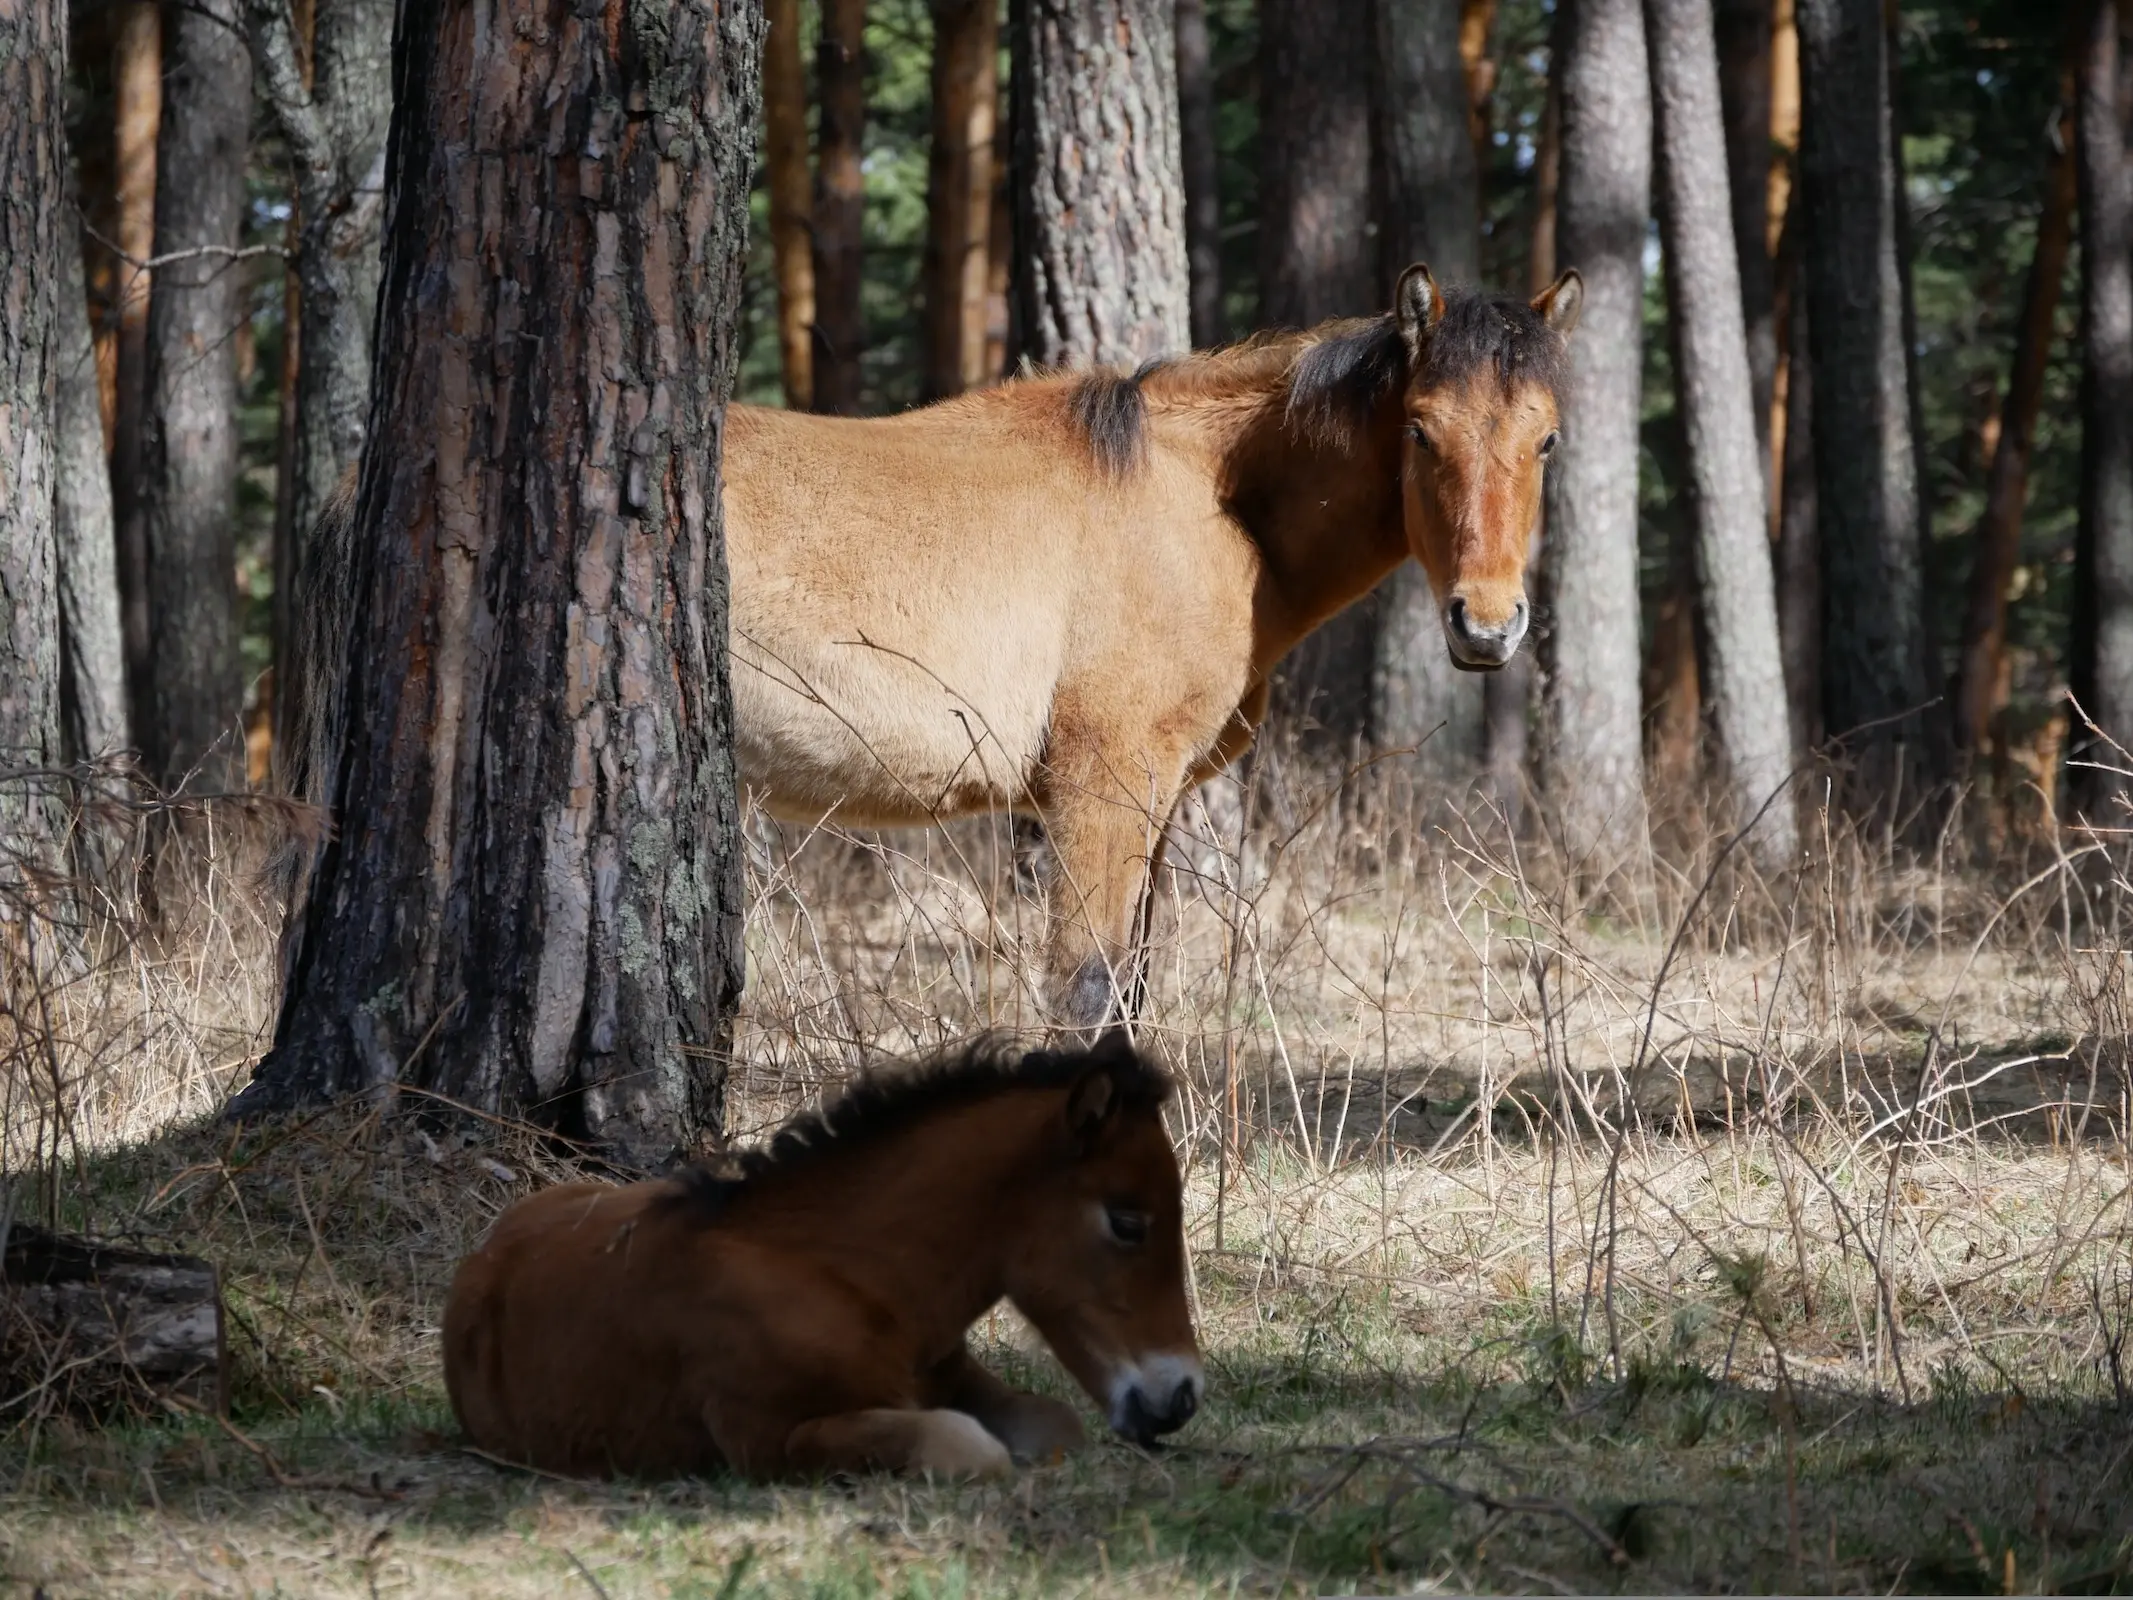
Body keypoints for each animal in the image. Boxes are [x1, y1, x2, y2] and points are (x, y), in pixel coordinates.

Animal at [279, 264, 1586, 1028]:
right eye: (1420, 431)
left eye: (1548, 439)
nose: (1487, 625)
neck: (1205, 499)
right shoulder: (1102, 789)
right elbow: (1084, 991)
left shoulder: (1154, 801)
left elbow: (1131, 988)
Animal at [443, 1032, 1203, 1484]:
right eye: (1128, 1222)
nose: (1181, 1399)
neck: (851, 1281)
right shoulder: (772, 1443)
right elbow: (969, 1449)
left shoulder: (953, 1375)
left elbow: (1057, 1426)